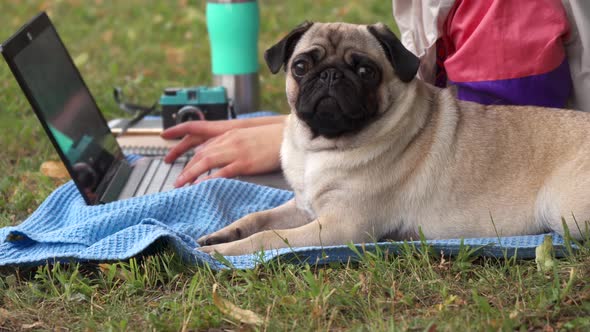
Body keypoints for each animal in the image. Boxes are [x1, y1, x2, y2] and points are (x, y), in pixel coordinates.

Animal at [199, 22, 590, 255]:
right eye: (301, 66)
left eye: (365, 70)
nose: (330, 75)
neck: (320, 148)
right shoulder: (303, 207)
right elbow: (258, 218)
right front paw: (223, 235)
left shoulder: (341, 226)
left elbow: (267, 238)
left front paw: (219, 253)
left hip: (564, 210)